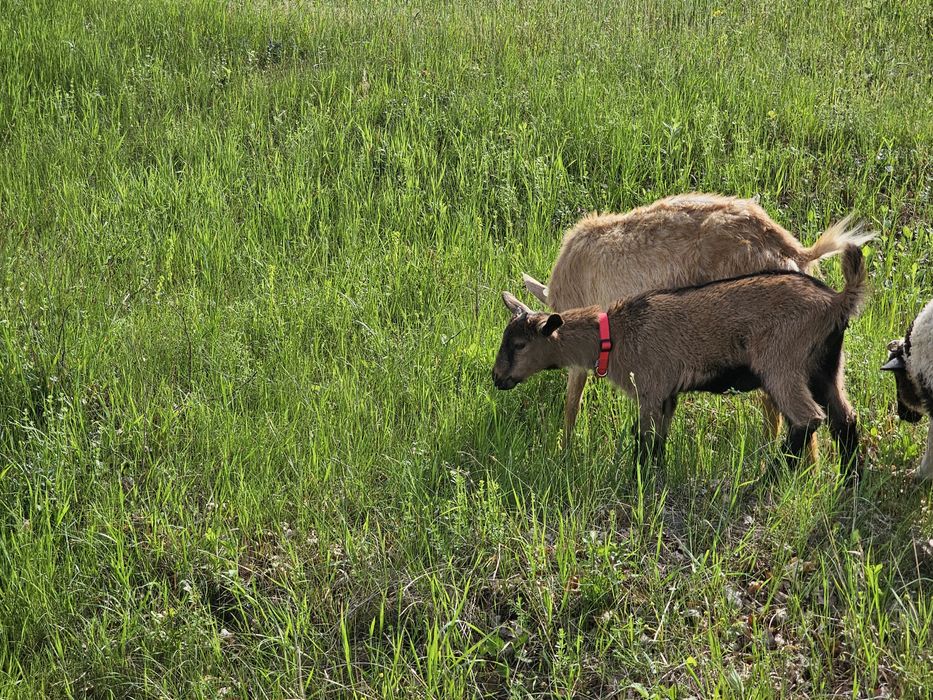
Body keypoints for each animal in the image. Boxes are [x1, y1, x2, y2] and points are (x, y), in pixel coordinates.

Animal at [494, 245, 868, 479]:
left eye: (519, 344)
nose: (497, 377)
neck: (614, 335)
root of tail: (836, 301)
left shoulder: (650, 388)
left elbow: (644, 439)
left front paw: (637, 480)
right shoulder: (667, 396)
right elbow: (659, 440)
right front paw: (655, 476)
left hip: (782, 364)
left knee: (808, 419)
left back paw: (767, 478)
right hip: (826, 367)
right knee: (845, 419)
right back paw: (851, 482)